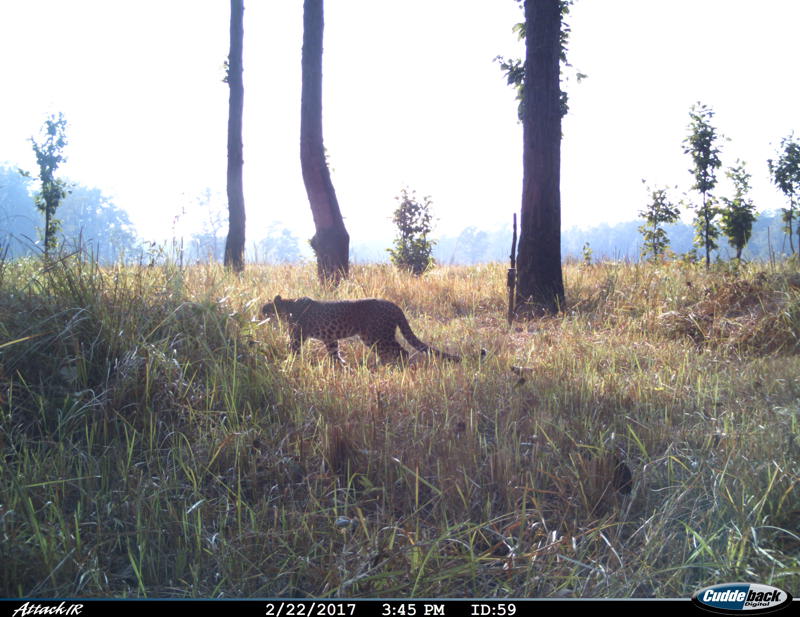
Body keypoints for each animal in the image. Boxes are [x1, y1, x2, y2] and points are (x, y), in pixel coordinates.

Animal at [262, 295, 461, 364]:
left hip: (377, 335)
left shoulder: (298, 336)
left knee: (400, 351)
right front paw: (341, 368)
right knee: (392, 352)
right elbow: (334, 353)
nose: (259, 315)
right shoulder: (330, 338)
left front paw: (287, 363)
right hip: (373, 336)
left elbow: (292, 350)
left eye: (265, 309)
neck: (287, 307)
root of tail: (393, 305)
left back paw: (389, 367)